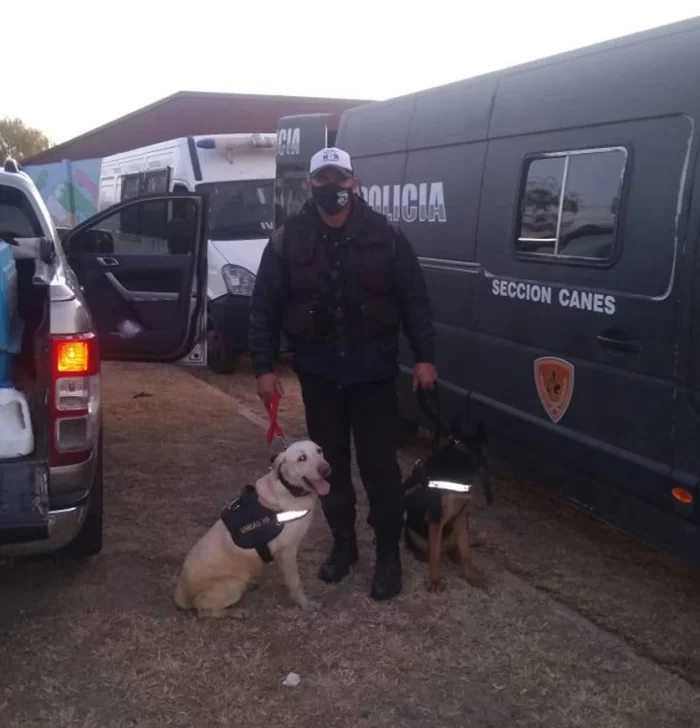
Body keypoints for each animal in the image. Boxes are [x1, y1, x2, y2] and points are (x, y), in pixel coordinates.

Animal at [174, 438, 330, 620]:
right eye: (302, 458)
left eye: (319, 451)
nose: (326, 469)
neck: (288, 489)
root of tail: (181, 592)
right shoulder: (288, 552)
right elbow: (295, 583)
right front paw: (305, 605)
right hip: (234, 583)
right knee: (203, 610)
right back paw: (236, 612)